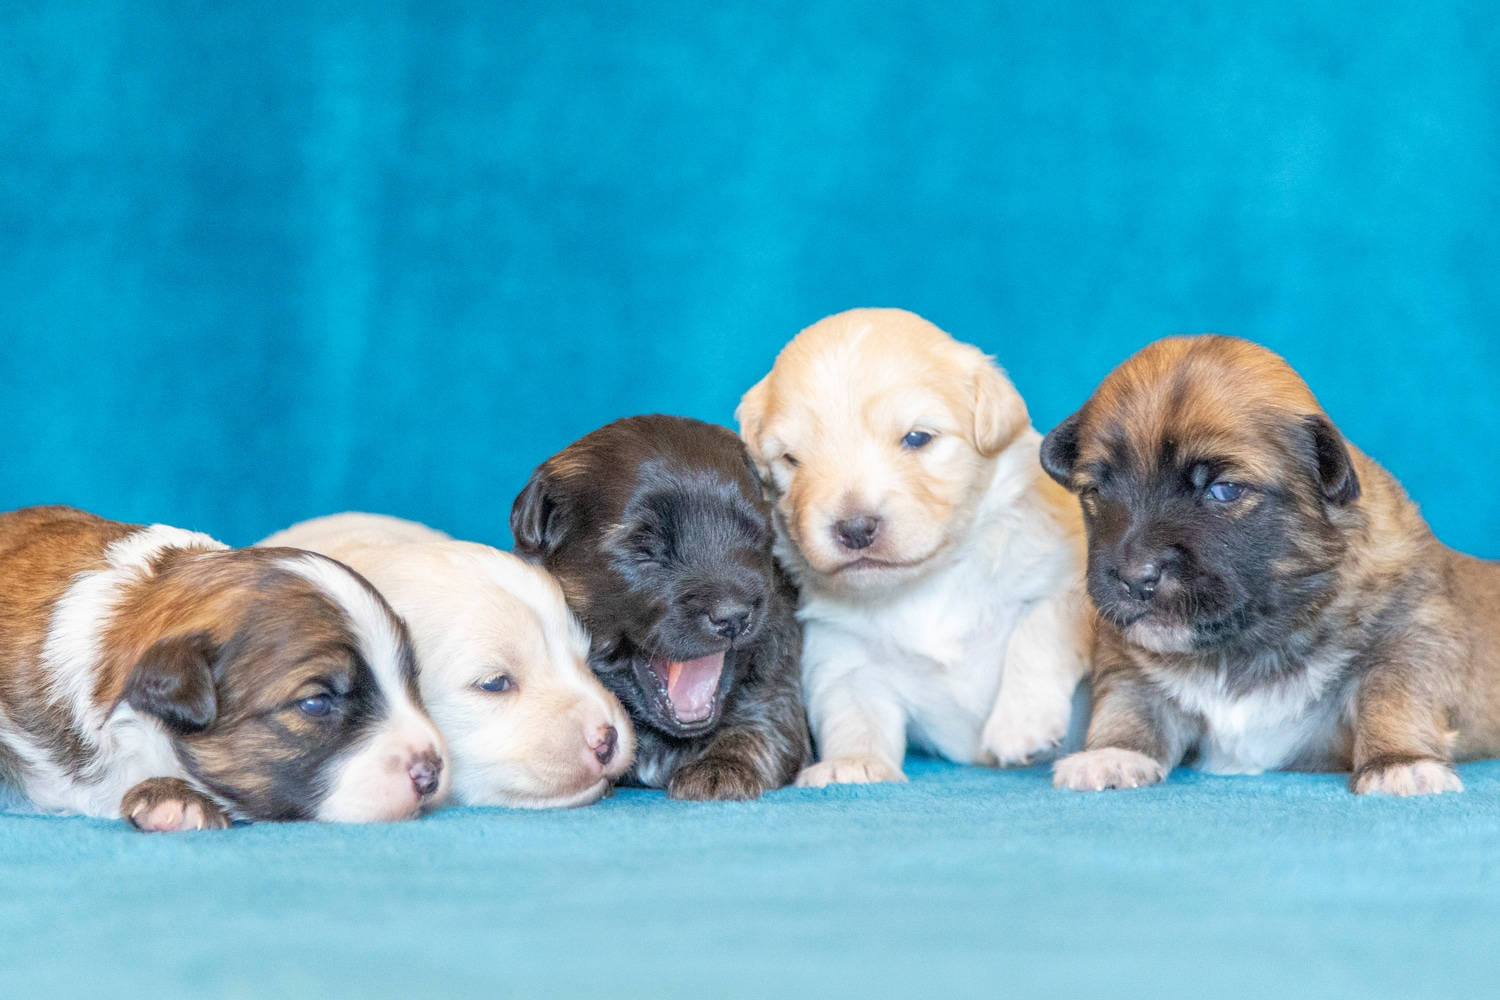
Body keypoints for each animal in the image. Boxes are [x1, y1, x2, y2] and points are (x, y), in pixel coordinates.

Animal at [510, 419, 810, 803]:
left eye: (755, 535)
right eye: (644, 548)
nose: (733, 616)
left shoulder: (776, 680)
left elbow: (762, 726)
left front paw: (720, 769)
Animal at [738, 308, 1092, 785]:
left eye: (917, 438)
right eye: (791, 459)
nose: (855, 528)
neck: (928, 583)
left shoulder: (1072, 580)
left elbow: (1038, 631)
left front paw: (1021, 724)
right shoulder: (843, 653)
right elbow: (851, 711)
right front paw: (852, 764)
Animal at [1038, 335, 1500, 797]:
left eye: (1224, 490)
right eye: (1095, 492)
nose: (1135, 579)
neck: (1245, 642)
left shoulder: (1408, 635)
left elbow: (1393, 695)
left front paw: (1399, 762)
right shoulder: (1128, 659)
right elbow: (1129, 701)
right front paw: (1112, 753)